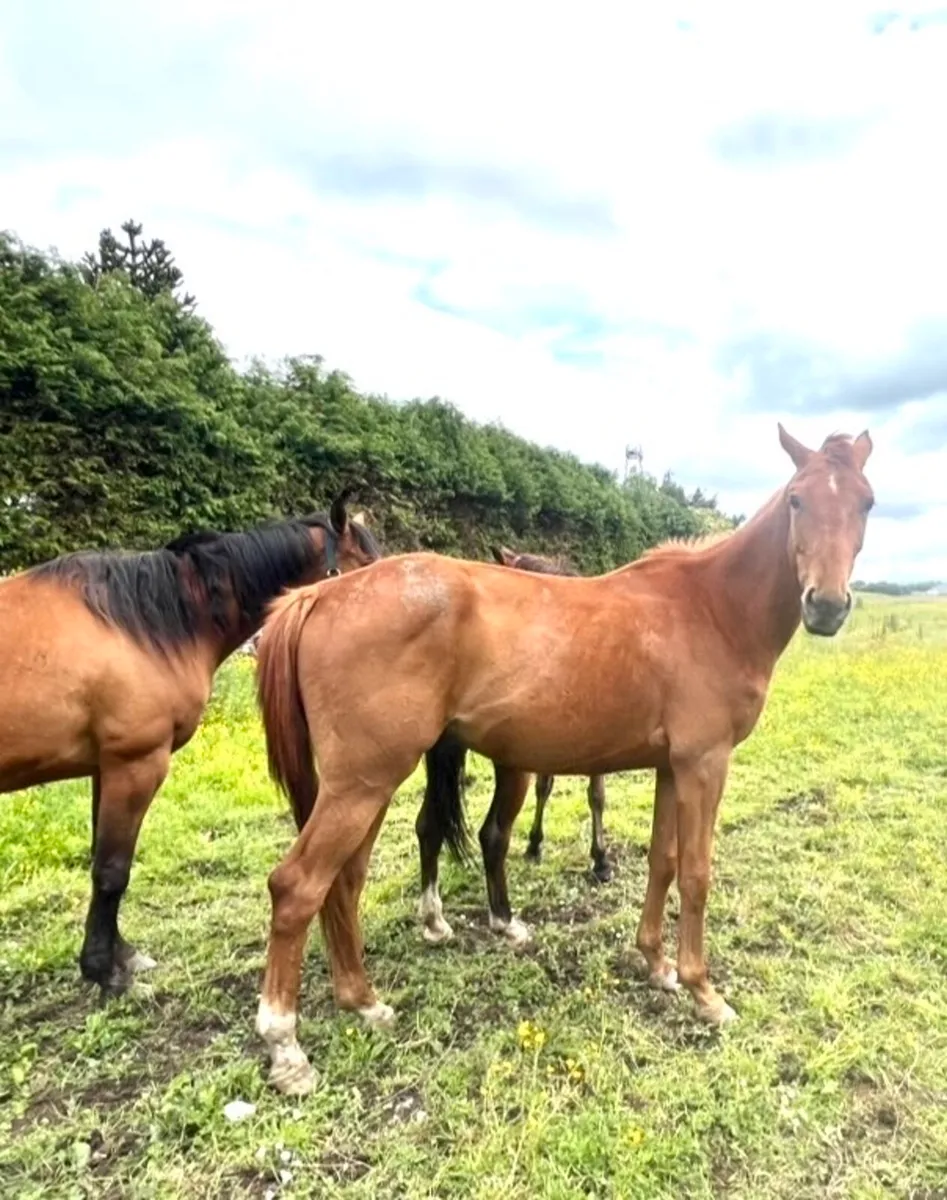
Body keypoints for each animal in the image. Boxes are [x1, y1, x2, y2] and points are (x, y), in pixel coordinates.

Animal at [0, 494, 380, 996]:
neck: (138, 625)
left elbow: (104, 864)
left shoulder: (106, 768)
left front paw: (118, 956)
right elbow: (112, 870)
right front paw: (106, 973)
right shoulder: (135, 765)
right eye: (367, 564)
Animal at [415, 544, 611, 951]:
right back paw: (505, 921)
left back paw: (435, 921)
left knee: (428, 825)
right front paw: (600, 859)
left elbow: (547, 787)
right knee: (492, 834)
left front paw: (536, 845)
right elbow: (595, 795)